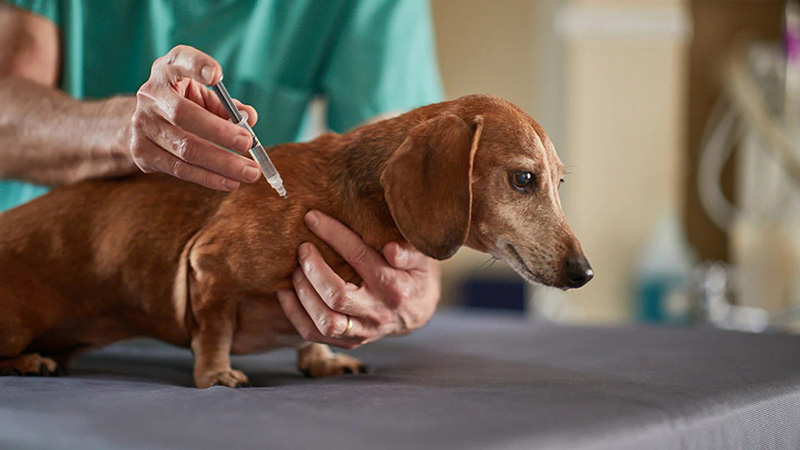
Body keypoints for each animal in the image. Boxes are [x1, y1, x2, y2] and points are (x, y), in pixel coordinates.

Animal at [0, 94, 588, 386]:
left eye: (560, 181)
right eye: (523, 178)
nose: (584, 272)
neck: (350, 193)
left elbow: (313, 335)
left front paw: (323, 358)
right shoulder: (209, 268)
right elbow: (213, 332)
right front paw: (216, 374)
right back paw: (30, 363)